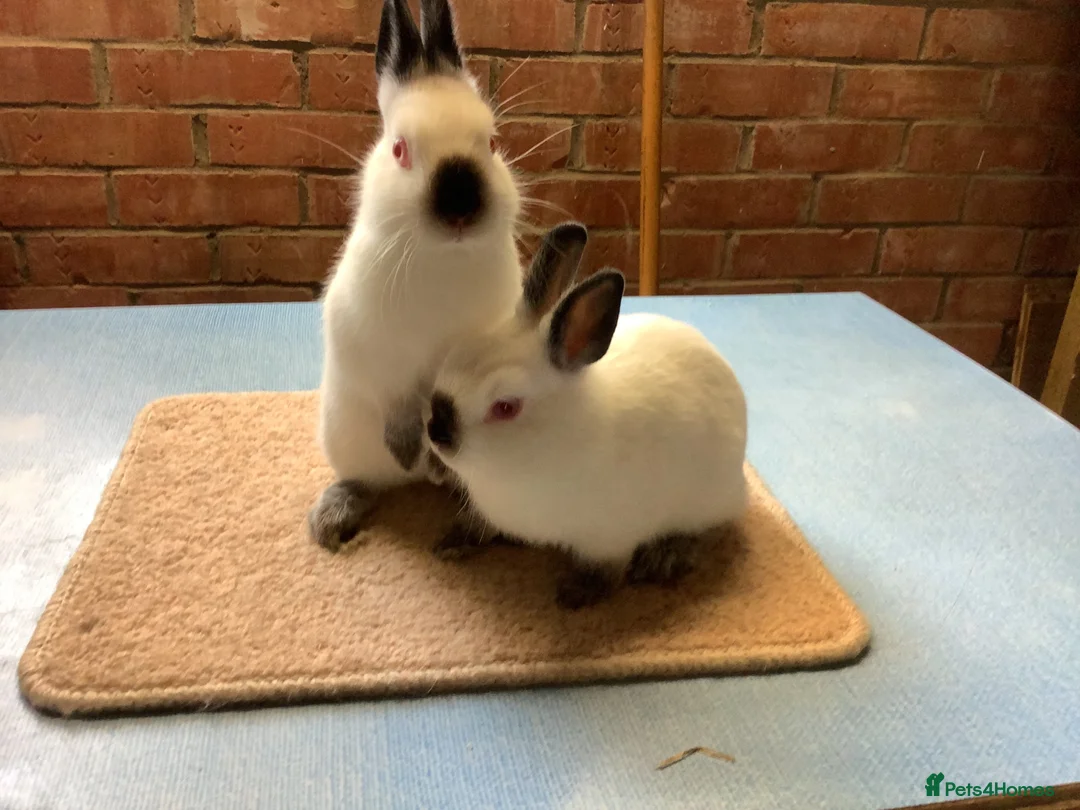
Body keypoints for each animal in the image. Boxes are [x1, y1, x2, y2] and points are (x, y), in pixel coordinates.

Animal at [309, 0, 525, 551]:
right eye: (400, 149)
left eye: (493, 144)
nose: (460, 208)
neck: (442, 257)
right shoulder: (371, 349)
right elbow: (398, 402)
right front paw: (412, 451)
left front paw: (438, 465)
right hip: (344, 436)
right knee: (369, 479)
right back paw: (336, 517)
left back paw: (466, 525)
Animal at [422, 222, 749, 609]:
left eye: (505, 407)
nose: (436, 430)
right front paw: (452, 542)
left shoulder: (609, 538)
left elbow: (606, 570)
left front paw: (576, 594)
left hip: (709, 499)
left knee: (708, 530)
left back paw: (665, 557)